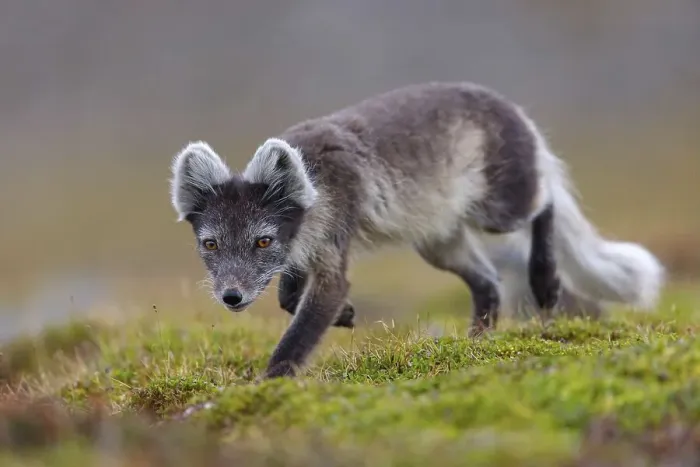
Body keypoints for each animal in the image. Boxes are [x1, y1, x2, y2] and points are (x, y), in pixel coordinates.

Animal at [169, 81, 665, 378]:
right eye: (210, 244)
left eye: (262, 240)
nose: (231, 297)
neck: (315, 182)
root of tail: (511, 107)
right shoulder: (304, 251)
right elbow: (289, 298)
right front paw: (346, 315)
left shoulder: (330, 252)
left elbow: (300, 331)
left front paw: (270, 384)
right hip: (439, 243)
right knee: (488, 281)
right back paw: (477, 342)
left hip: (498, 211)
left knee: (546, 205)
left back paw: (545, 282)